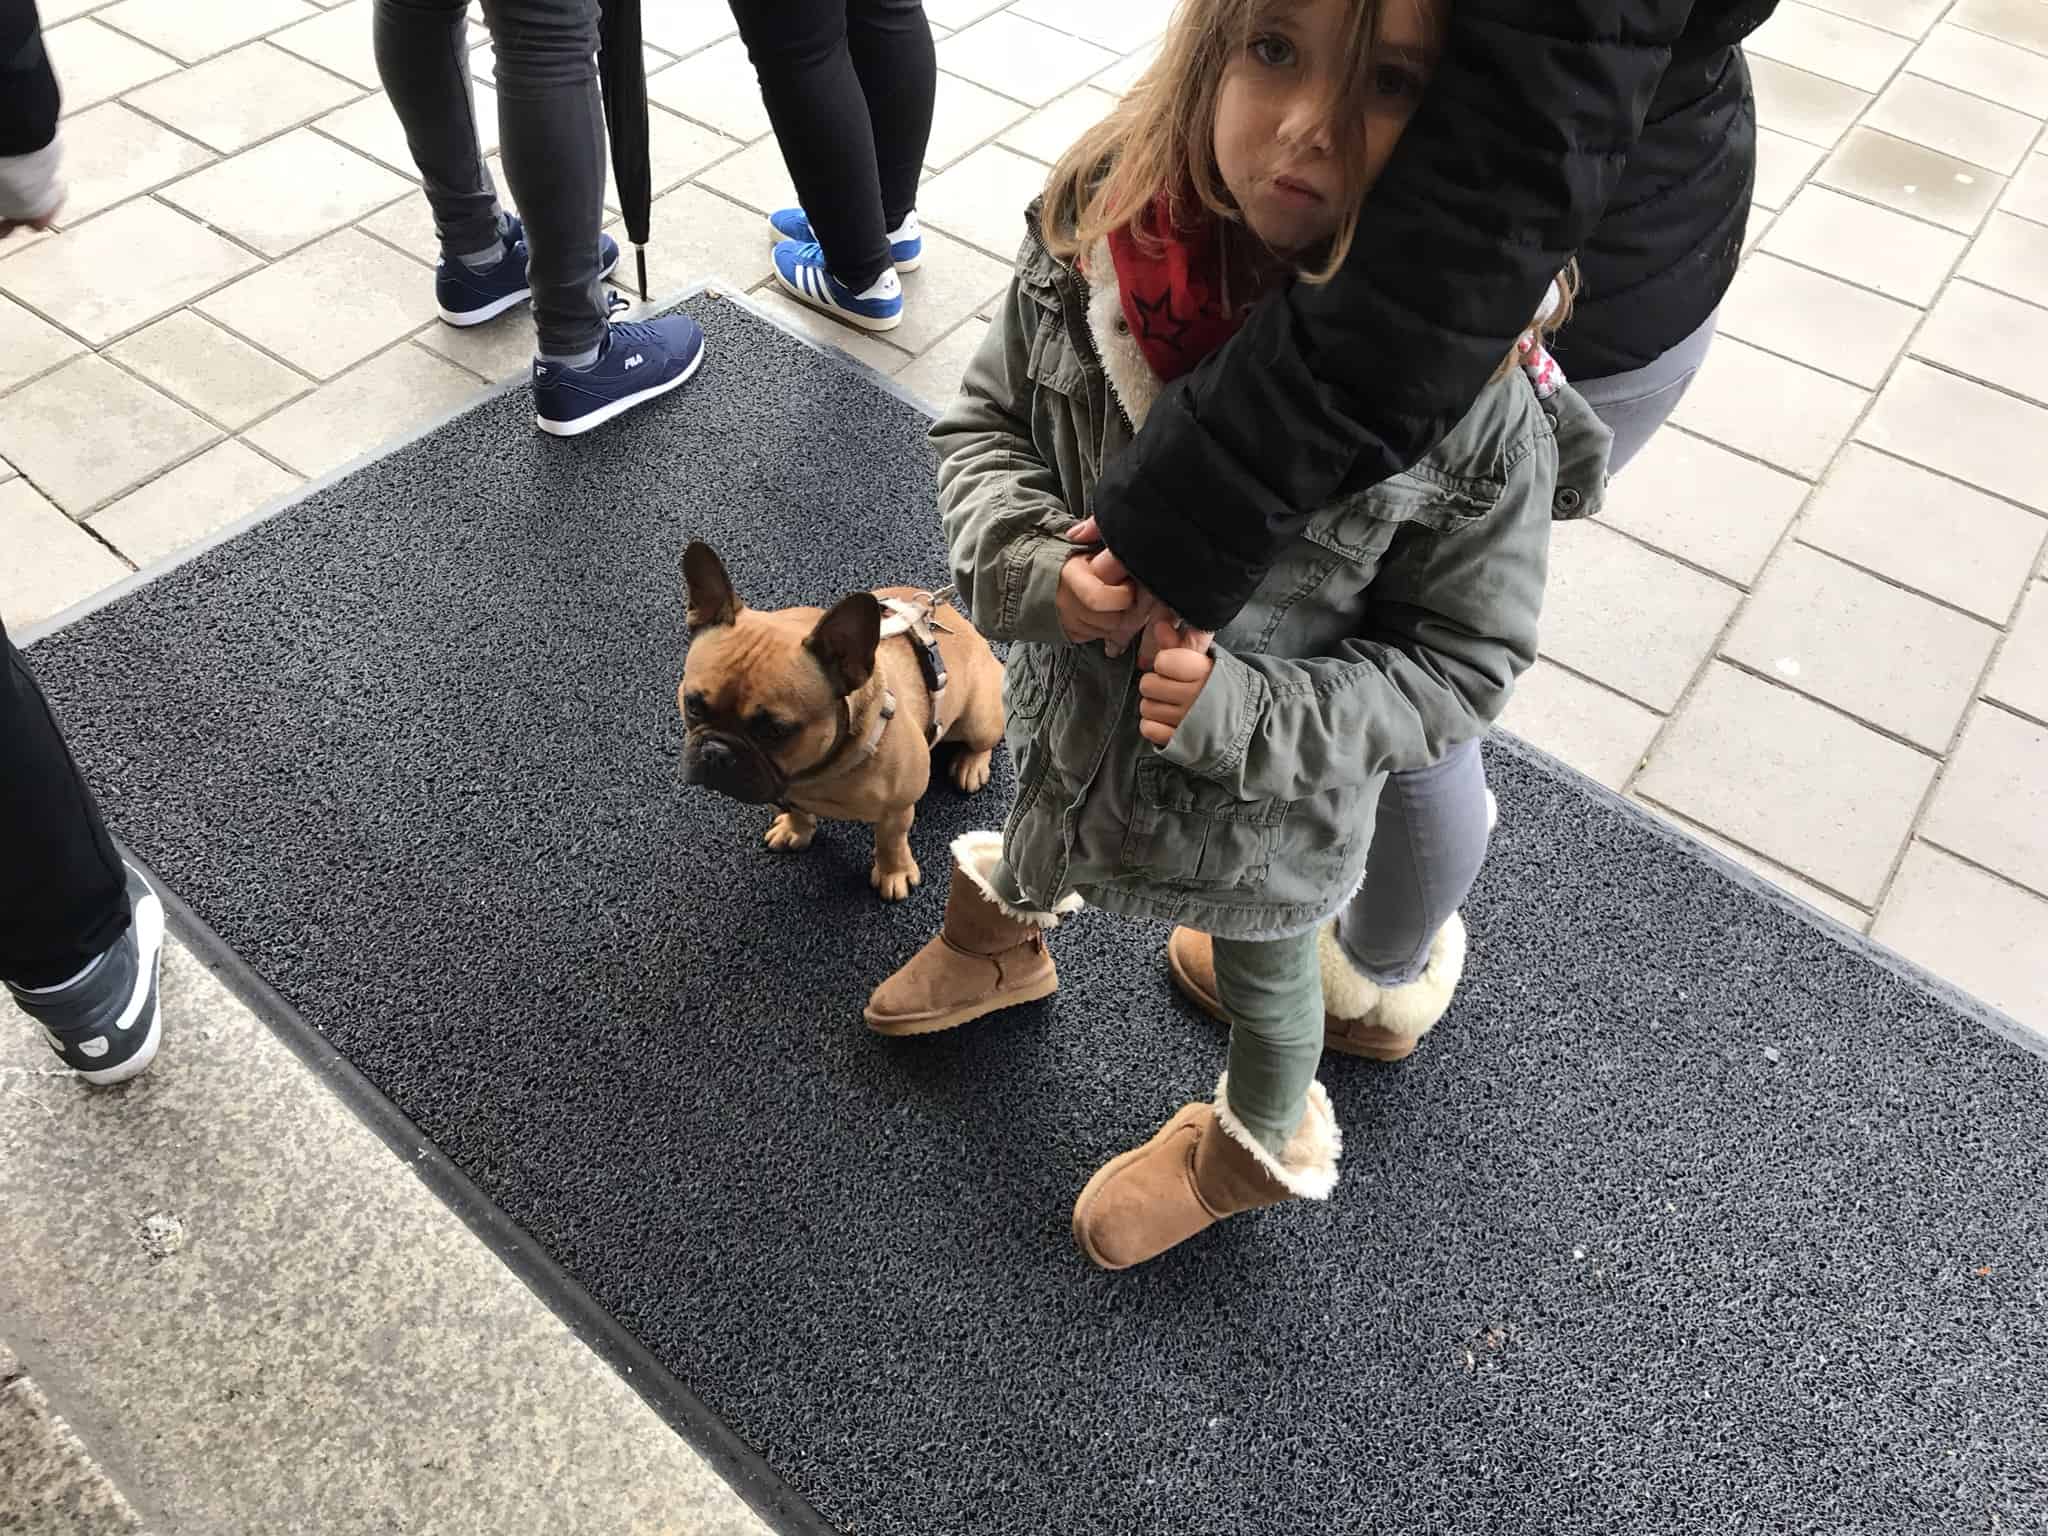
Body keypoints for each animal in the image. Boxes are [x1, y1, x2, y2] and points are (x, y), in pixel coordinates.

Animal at [677, 541, 1006, 900]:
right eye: (692, 705)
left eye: (775, 731)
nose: (716, 752)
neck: (817, 772)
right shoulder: (783, 791)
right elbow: (795, 811)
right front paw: (795, 829)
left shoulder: (897, 808)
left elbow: (891, 841)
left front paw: (894, 872)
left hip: (978, 718)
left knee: (984, 741)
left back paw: (971, 765)